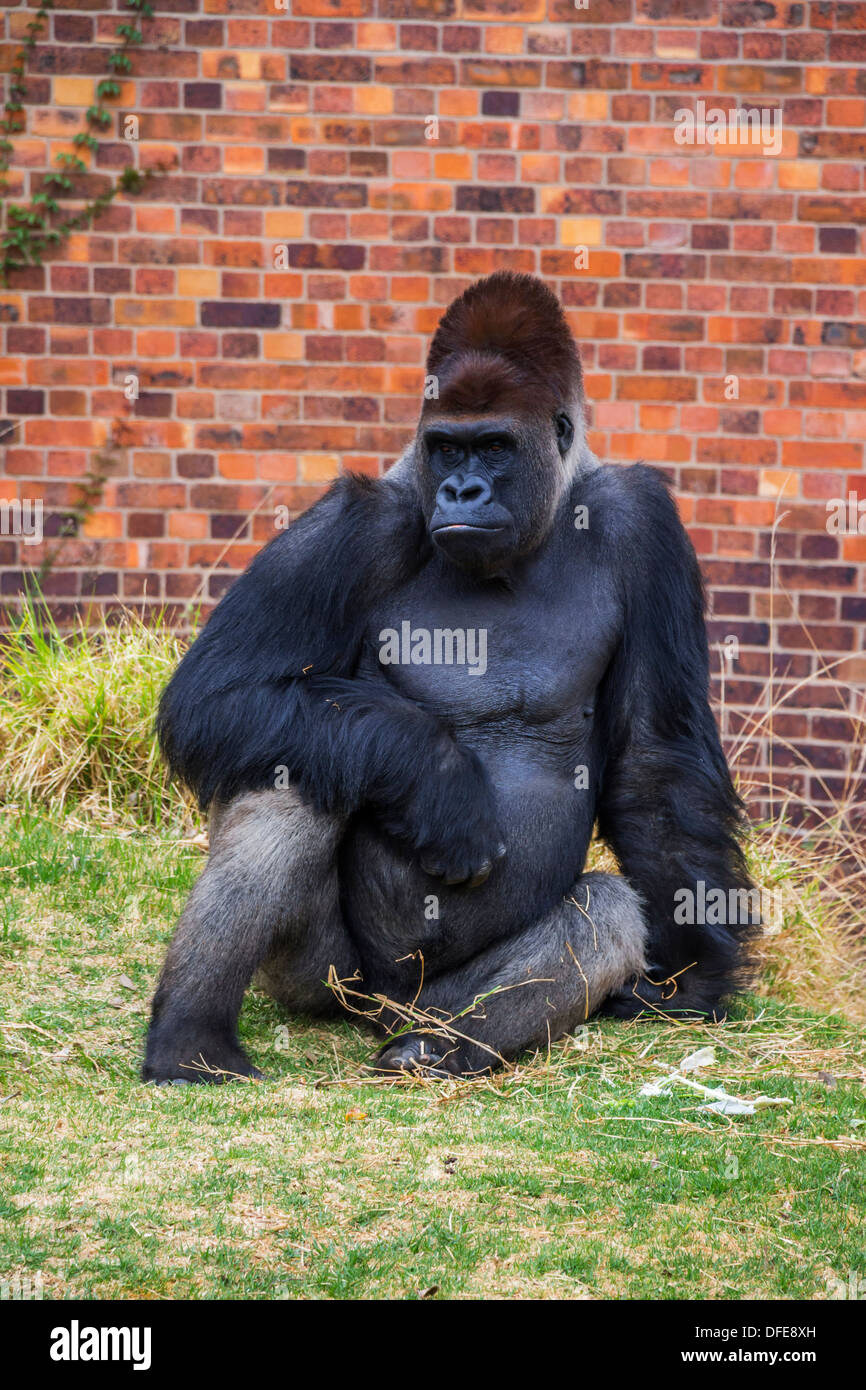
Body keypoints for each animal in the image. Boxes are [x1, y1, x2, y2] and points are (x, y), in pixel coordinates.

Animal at [142, 265, 750, 1078]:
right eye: (446, 450)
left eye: (492, 447)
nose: (462, 492)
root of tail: (388, 1010)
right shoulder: (360, 518)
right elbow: (216, 695)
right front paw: (438, 779)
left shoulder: (643, 522)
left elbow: (656, 765)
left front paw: (696, 975)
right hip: (331, 985)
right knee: (289, 769)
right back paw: (191, 1037)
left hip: (434, 997)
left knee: (605, 915)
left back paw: (437, 1048)